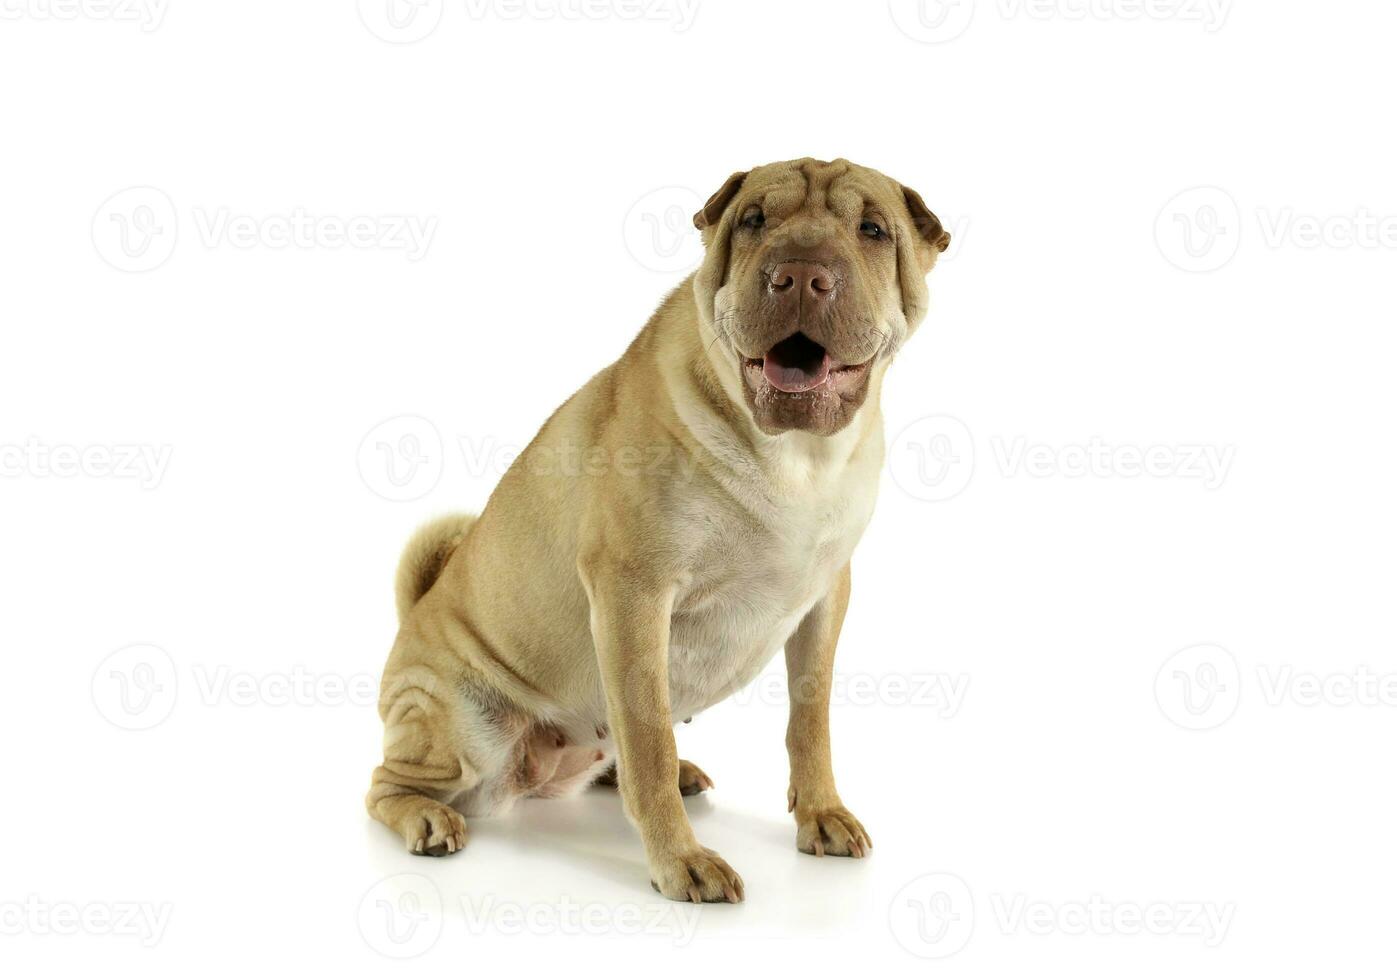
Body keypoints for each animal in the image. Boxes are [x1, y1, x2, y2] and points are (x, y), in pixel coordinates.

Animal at [363, 155, 949, 904]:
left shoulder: (825, 598)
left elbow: (808, 718)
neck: (793, 457)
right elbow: (647, 736)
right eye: (753, 220)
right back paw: (428, 818)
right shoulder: (633, 594)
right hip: (463, 723)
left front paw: (821, 811)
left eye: (873, 230)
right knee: (385, 784)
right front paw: (680, 859)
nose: (799, 275)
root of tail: (411, 619)